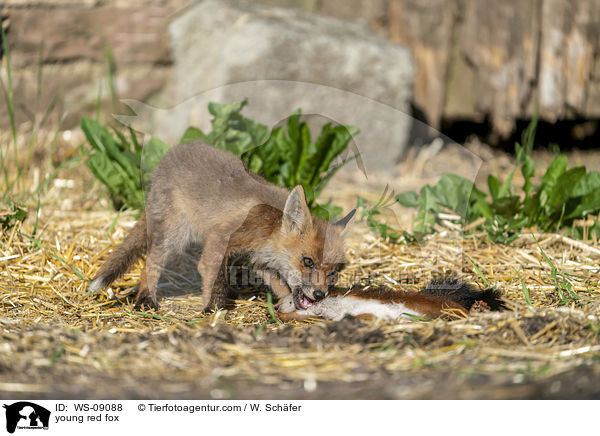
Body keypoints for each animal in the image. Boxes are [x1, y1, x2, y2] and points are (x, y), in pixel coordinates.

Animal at [88, 141, 356, 312]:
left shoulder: (260, 259)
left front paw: (285, 303)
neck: (270, 228)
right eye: (307, 261)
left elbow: (280, 285)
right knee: (150, 263)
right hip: (175, 235)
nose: (320, 295)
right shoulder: (222, 235)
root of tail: (164, 161)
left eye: (334, 272)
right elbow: (211, 274)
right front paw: (213, 308)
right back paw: (146, 299)